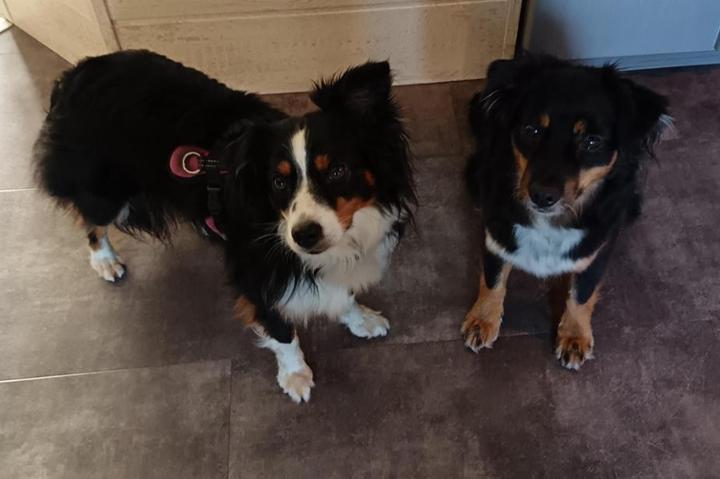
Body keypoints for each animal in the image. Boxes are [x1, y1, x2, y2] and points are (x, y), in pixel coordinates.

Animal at [34, 50, 416, 402]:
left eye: (337, 170)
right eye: (279, 182)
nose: (304, 235)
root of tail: (79, 70)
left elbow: (344, 292)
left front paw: (361, 319)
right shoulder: (255, 271)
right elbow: (280, 329)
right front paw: (295, 376)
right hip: (107, 189)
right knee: (92, 218)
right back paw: (105, 261)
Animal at [462, 55, 669, 369]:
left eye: (592, 141)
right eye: (532, 130)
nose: (542, 196)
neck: (550, 222)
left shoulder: (597, 250)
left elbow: (582, 294)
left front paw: (575, 336)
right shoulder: (496, 235)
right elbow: (492, 279)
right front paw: (482, 321)